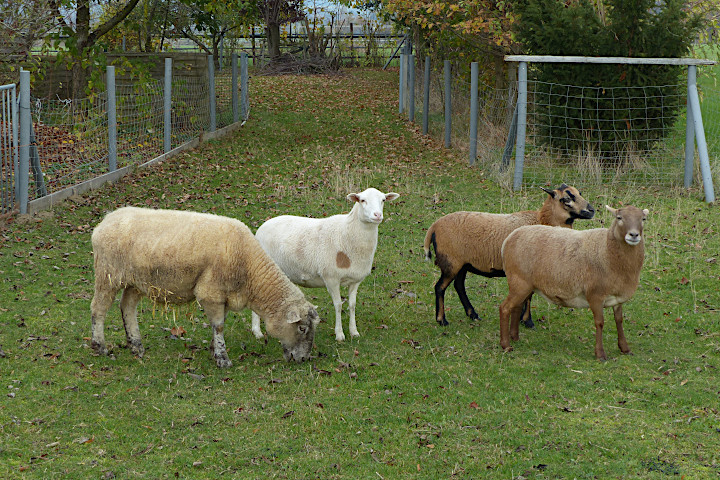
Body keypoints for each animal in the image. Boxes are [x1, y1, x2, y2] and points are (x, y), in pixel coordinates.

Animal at [88, 206, 320, 368]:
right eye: (302, 328)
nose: (303, 359)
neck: (249, 268)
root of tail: (105, 221)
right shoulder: (210, 292)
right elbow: (219, 326)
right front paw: (223, 359)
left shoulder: (222, 295)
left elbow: (219, 323)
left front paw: (214, 350)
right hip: (107, 274)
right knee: (98, 309)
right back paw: (100, 347)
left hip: (136, 282)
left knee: (127, 307)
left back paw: (136, 346)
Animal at [252, 188, 400, 342]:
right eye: (362, 200)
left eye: (383, 200)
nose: (377, 215)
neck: (348, 234)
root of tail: (261, 227)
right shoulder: (331, 278)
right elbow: (338, 305)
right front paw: (339, 334)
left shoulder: (356, 280)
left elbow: (352, 305)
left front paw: (354, 331)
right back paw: (257, 332)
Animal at [424, 183, 592, 326]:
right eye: (566, 199)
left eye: (580, 193)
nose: (591, 210)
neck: (543, 221)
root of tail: (434, 226)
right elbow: (528, 297)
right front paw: (527, 321)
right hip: (451, 262)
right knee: (440, 287)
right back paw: (442, 320)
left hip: (463, 264)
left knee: (459, 286)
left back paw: (473, 314)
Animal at [500, 203, 648, 360]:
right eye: (619, 218)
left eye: (643, 219)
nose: (633, 235)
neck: (607, 250)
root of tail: (509, 238)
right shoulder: (595, 295)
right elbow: (599, 323)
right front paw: (600, 354)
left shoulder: (617, 298)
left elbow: (619, 321)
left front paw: (625, 348)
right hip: (519, 281)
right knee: (504, 308)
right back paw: (505, 345)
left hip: (523, 284)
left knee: (516, 307)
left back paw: (515, 337)